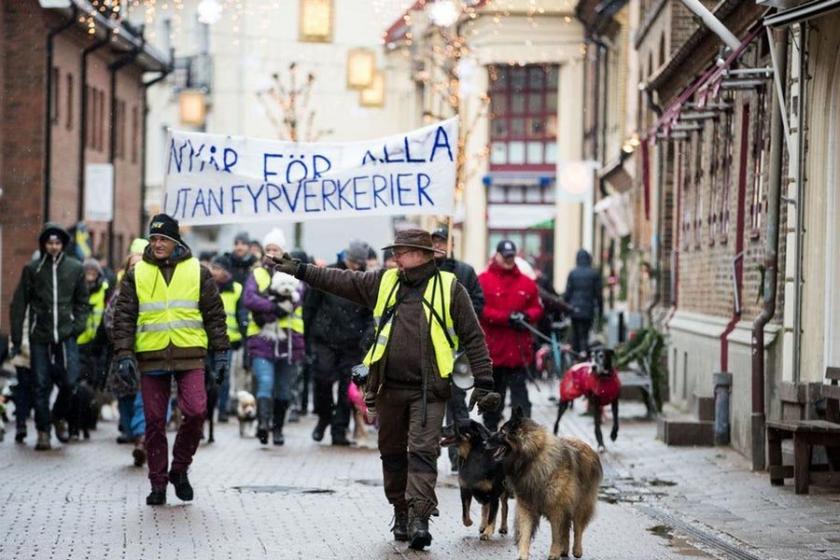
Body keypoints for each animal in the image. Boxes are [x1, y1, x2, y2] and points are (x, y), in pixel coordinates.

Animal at [488, 406, 600, 560]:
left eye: (502, 432)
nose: (485, 440)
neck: (532, 457)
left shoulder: (557, 508)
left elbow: (556, 534)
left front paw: (553, 553)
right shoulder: (527, 505)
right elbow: (525, 532)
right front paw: (523, 554)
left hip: (581, 504)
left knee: (578, 528)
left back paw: (576, 550)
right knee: (567, 528)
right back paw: (564, 550)